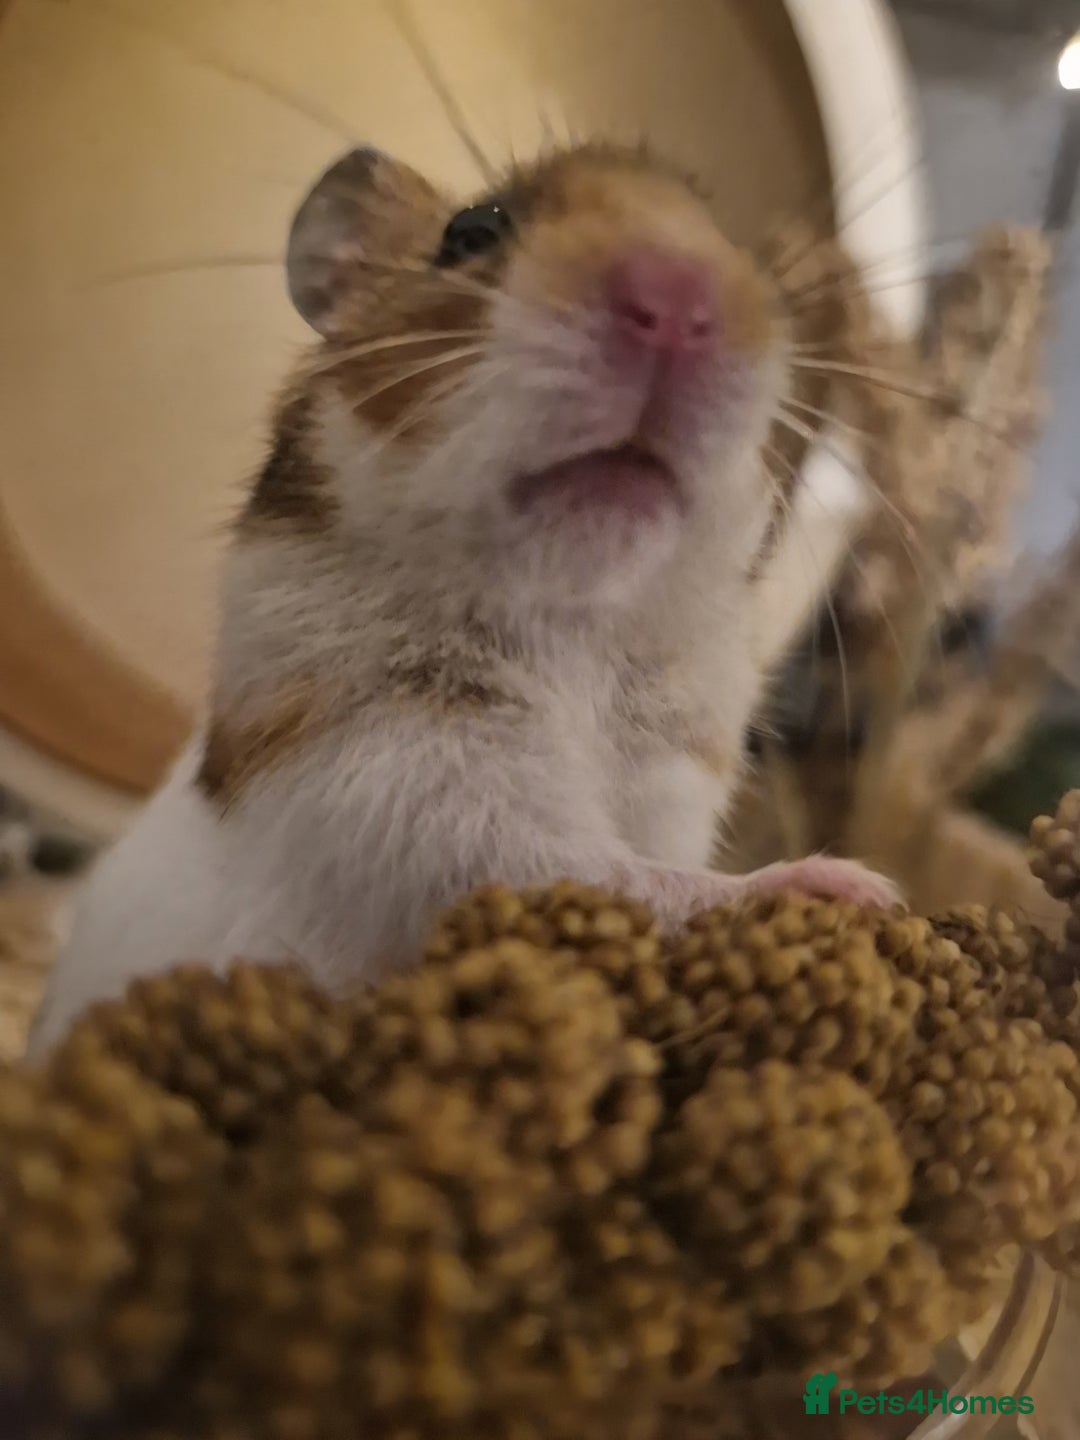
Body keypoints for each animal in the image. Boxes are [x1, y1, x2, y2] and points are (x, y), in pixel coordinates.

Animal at [28, 141, 899, 1058]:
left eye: (746, 261)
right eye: (471, 231)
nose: (676, 300)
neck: (573, 618)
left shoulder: (669, 777)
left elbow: (646, 866)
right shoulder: (411, 795)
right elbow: (611, 878)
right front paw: (854, 885)